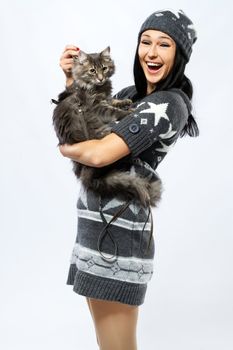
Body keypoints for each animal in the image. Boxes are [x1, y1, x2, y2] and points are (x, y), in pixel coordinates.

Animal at [52, 45, 162, 206]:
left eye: (104, 68)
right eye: (92, 71)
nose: (100, 78)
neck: (97, 88)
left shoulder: (105, 99)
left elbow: (113, 101)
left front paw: (125, 102)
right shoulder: (96, 107)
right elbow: (113, 110)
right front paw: (128, 111)